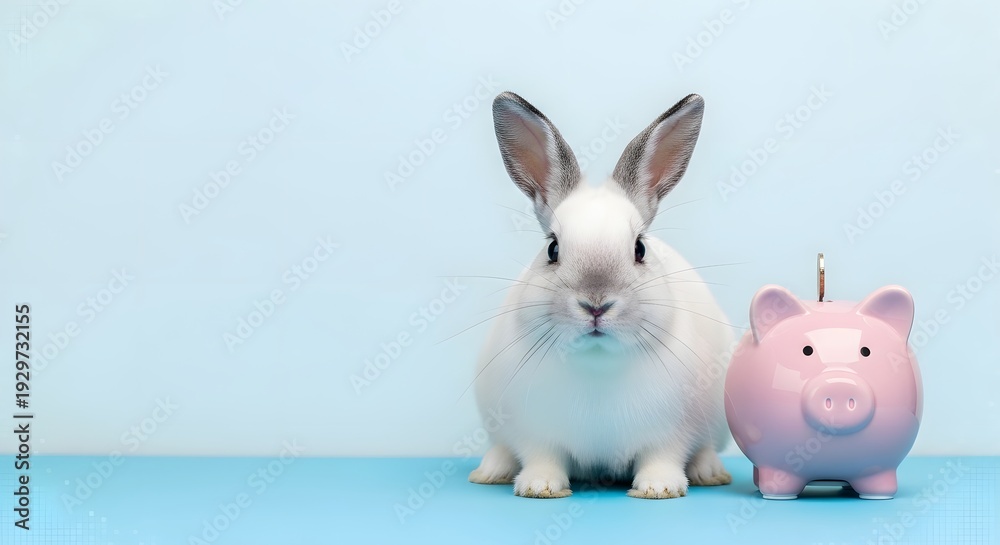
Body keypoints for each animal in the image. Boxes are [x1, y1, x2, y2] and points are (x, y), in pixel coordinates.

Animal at [468, 92, 734, 499]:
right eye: (552, 249)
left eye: (640, 248)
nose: (596, 304)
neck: (597, 364)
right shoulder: (535, 435)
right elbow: (542, 458)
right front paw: (540, 486)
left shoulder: (670, 436)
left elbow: (663, 458)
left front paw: (659, 488)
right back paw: (491, 470)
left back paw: (710, 472)